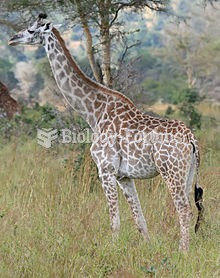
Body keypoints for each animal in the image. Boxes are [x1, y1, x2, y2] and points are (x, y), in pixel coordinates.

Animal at [9, 14, 205, 251]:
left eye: (30, 30)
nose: (12, 39)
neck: (94, 113)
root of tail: (191, 139)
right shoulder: (124, 176)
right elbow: (139, 219)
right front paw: (148, 248)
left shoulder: (105, 169)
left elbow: (114, 221)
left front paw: (111, 251)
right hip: (187, 172)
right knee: (188, 208)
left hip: (170, 170)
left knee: (184, 210)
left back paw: (182, 252)